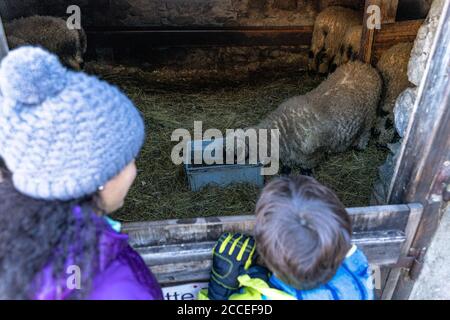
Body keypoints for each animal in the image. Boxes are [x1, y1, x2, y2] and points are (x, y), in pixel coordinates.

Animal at [246, 60, 384, 170]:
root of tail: (364, 65)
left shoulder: (313, 154)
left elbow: (306, 169)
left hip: (369, 115)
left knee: (365, 132)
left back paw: (360, 147)